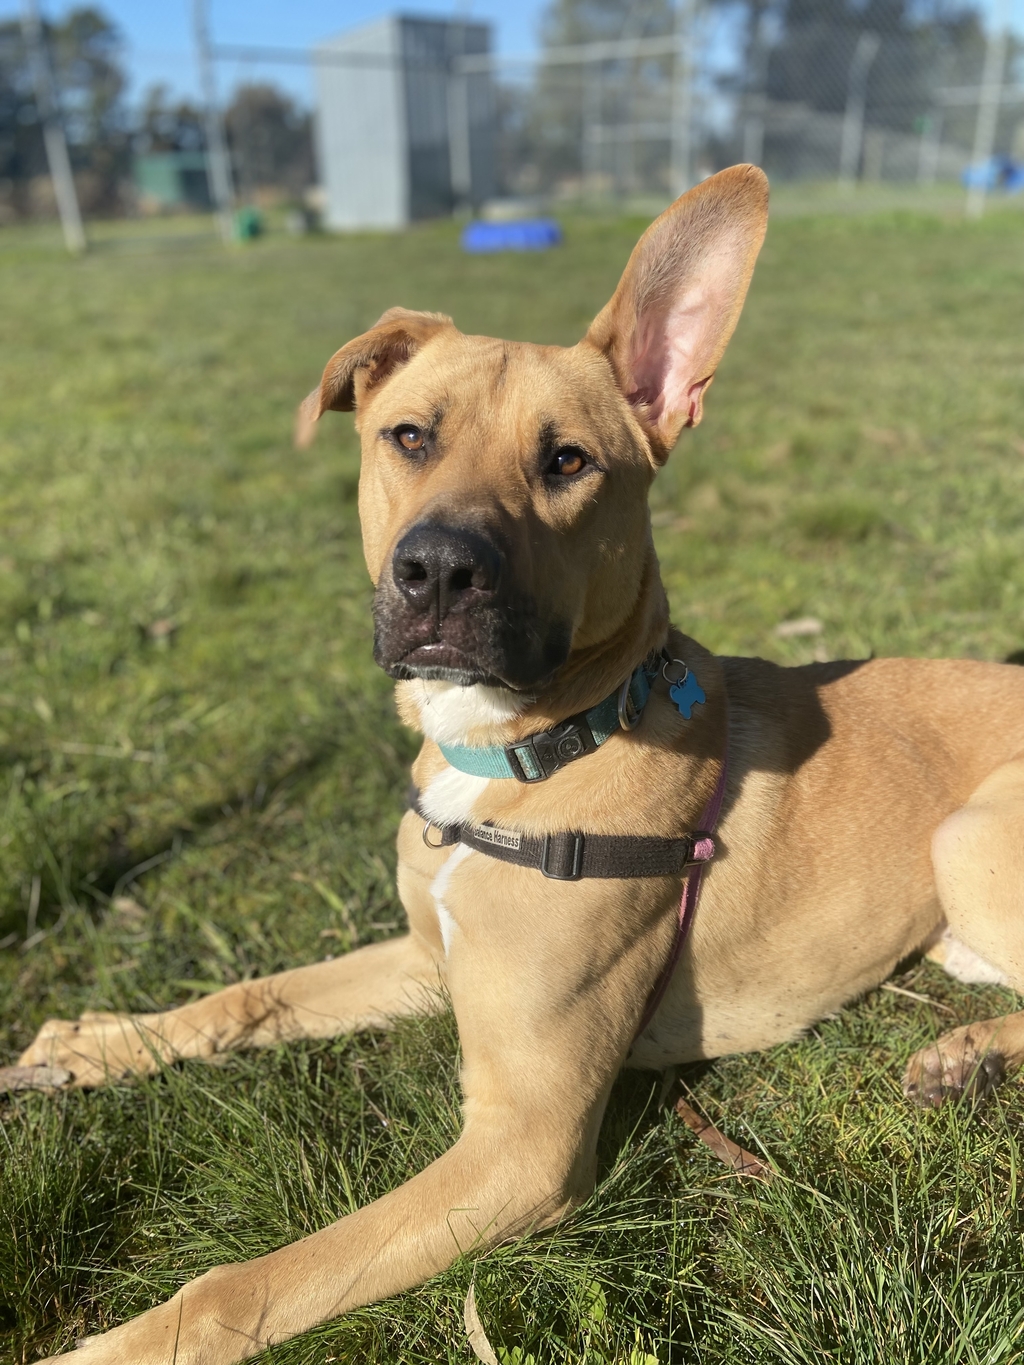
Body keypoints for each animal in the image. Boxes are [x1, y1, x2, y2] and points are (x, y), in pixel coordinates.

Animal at [20, 162, 1024, 1365]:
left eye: (567, 461)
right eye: (408, 437)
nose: (439, 572)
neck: (525, 750)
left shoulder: (524, 1143)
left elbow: (249, 1281)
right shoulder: (427, 956)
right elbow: (254, 995)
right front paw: (102, 1042)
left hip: (967, 836)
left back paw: (964, 1056)